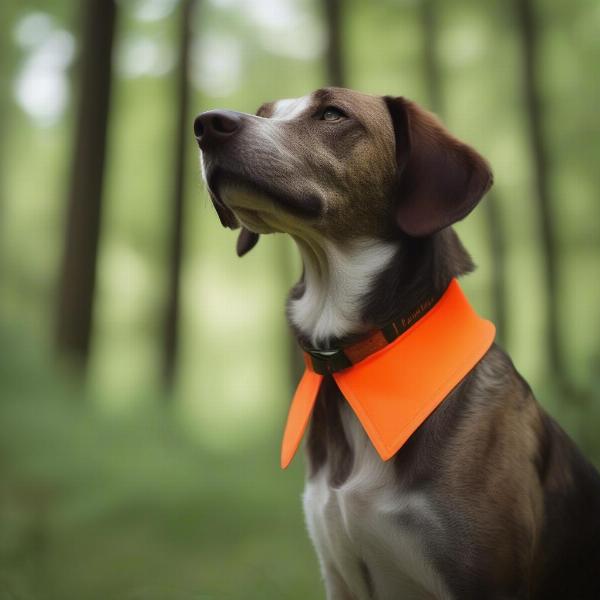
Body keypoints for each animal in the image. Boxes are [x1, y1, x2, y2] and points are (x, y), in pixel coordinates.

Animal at [195, 89, 600, 600]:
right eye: (264, 113)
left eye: (332, 114)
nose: (205, 124)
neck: (356, 357)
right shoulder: (340, 569)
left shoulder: (479, 575)